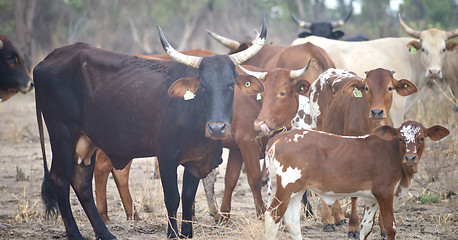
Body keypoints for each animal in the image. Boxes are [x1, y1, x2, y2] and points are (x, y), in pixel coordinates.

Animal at [35, 21, 268, 239]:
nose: (217, 128)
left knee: (81, 182)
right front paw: (172, 234)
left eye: (230, 85)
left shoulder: (195, 160)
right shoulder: (166, 157)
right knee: (60, 180)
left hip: (85, 141)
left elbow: (188, 196)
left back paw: (105, 233)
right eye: (203, 86)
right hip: (62, 134)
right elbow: (173, 198)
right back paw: (76, 234)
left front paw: (187, 233)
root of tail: (52, 57)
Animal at [262, 121, 450, 239]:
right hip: (286, 188)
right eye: (401, 138)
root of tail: (278, 137)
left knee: (292, 222)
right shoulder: (384, 192)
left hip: (295, 189)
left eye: (422, 138)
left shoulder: (372, 198)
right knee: (272, 217)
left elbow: (366, 227)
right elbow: (390, 227)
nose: (410, 157)